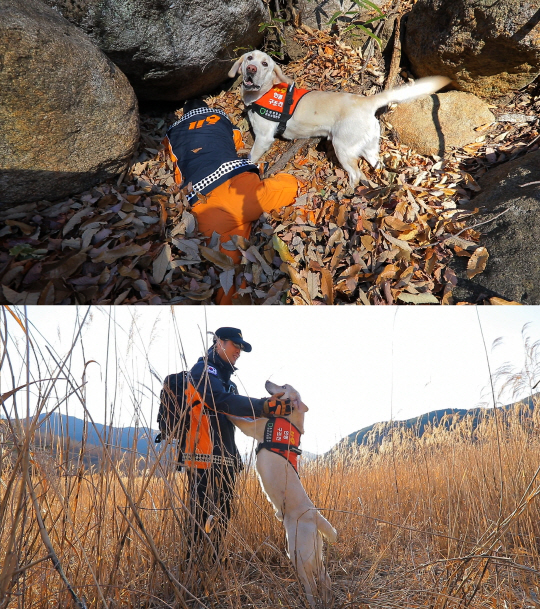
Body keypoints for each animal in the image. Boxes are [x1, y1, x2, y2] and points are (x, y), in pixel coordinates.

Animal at [228, 380, 338, 604]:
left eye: (284, 385)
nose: (267, 381)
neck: (289, 419)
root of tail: (314, 514)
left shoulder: (253, 426)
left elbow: (235, 416)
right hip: (315, 552)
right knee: (325, 577)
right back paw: (327, 598)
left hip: (297, 553)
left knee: (311, 584)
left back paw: (310, 601)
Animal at [229, 50, 452, 188]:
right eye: (249, 58)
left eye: (265, 64)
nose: (251, 69)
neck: (261, 94)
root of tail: (367, 101)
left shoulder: (264, 138)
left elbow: (252, 157)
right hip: (368, 147)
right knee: (375, 166)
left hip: (342, 147)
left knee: (356, 174)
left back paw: (346, 193)